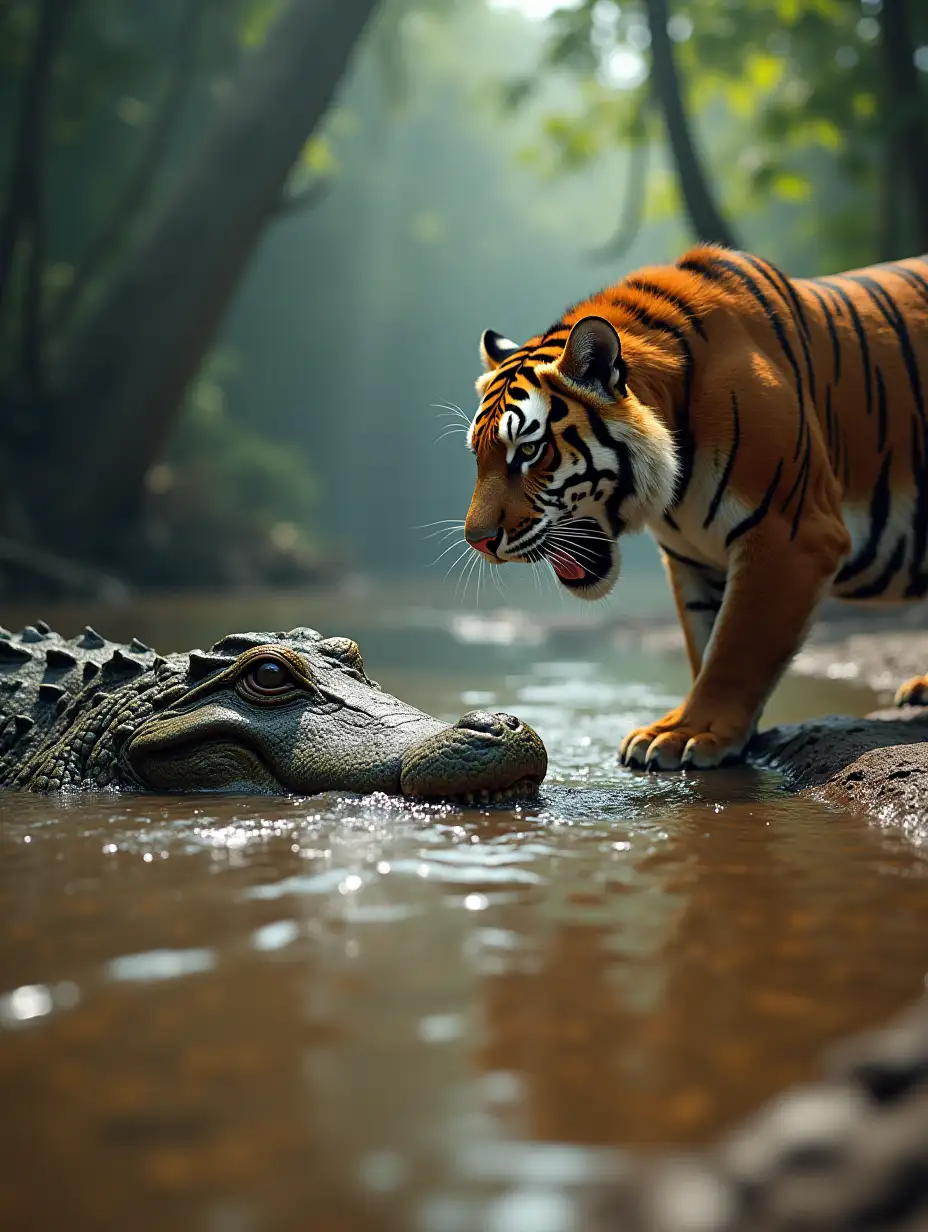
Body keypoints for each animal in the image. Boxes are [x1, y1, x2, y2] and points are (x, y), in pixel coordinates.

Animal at [463, 242, 928, 768]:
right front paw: (695, 727)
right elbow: (704, 643)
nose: (477, 541)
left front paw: (689, 734)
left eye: (528, 450)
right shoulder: (690, 558)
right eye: (477, 455)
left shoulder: (793, 534)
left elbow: (736, 647)